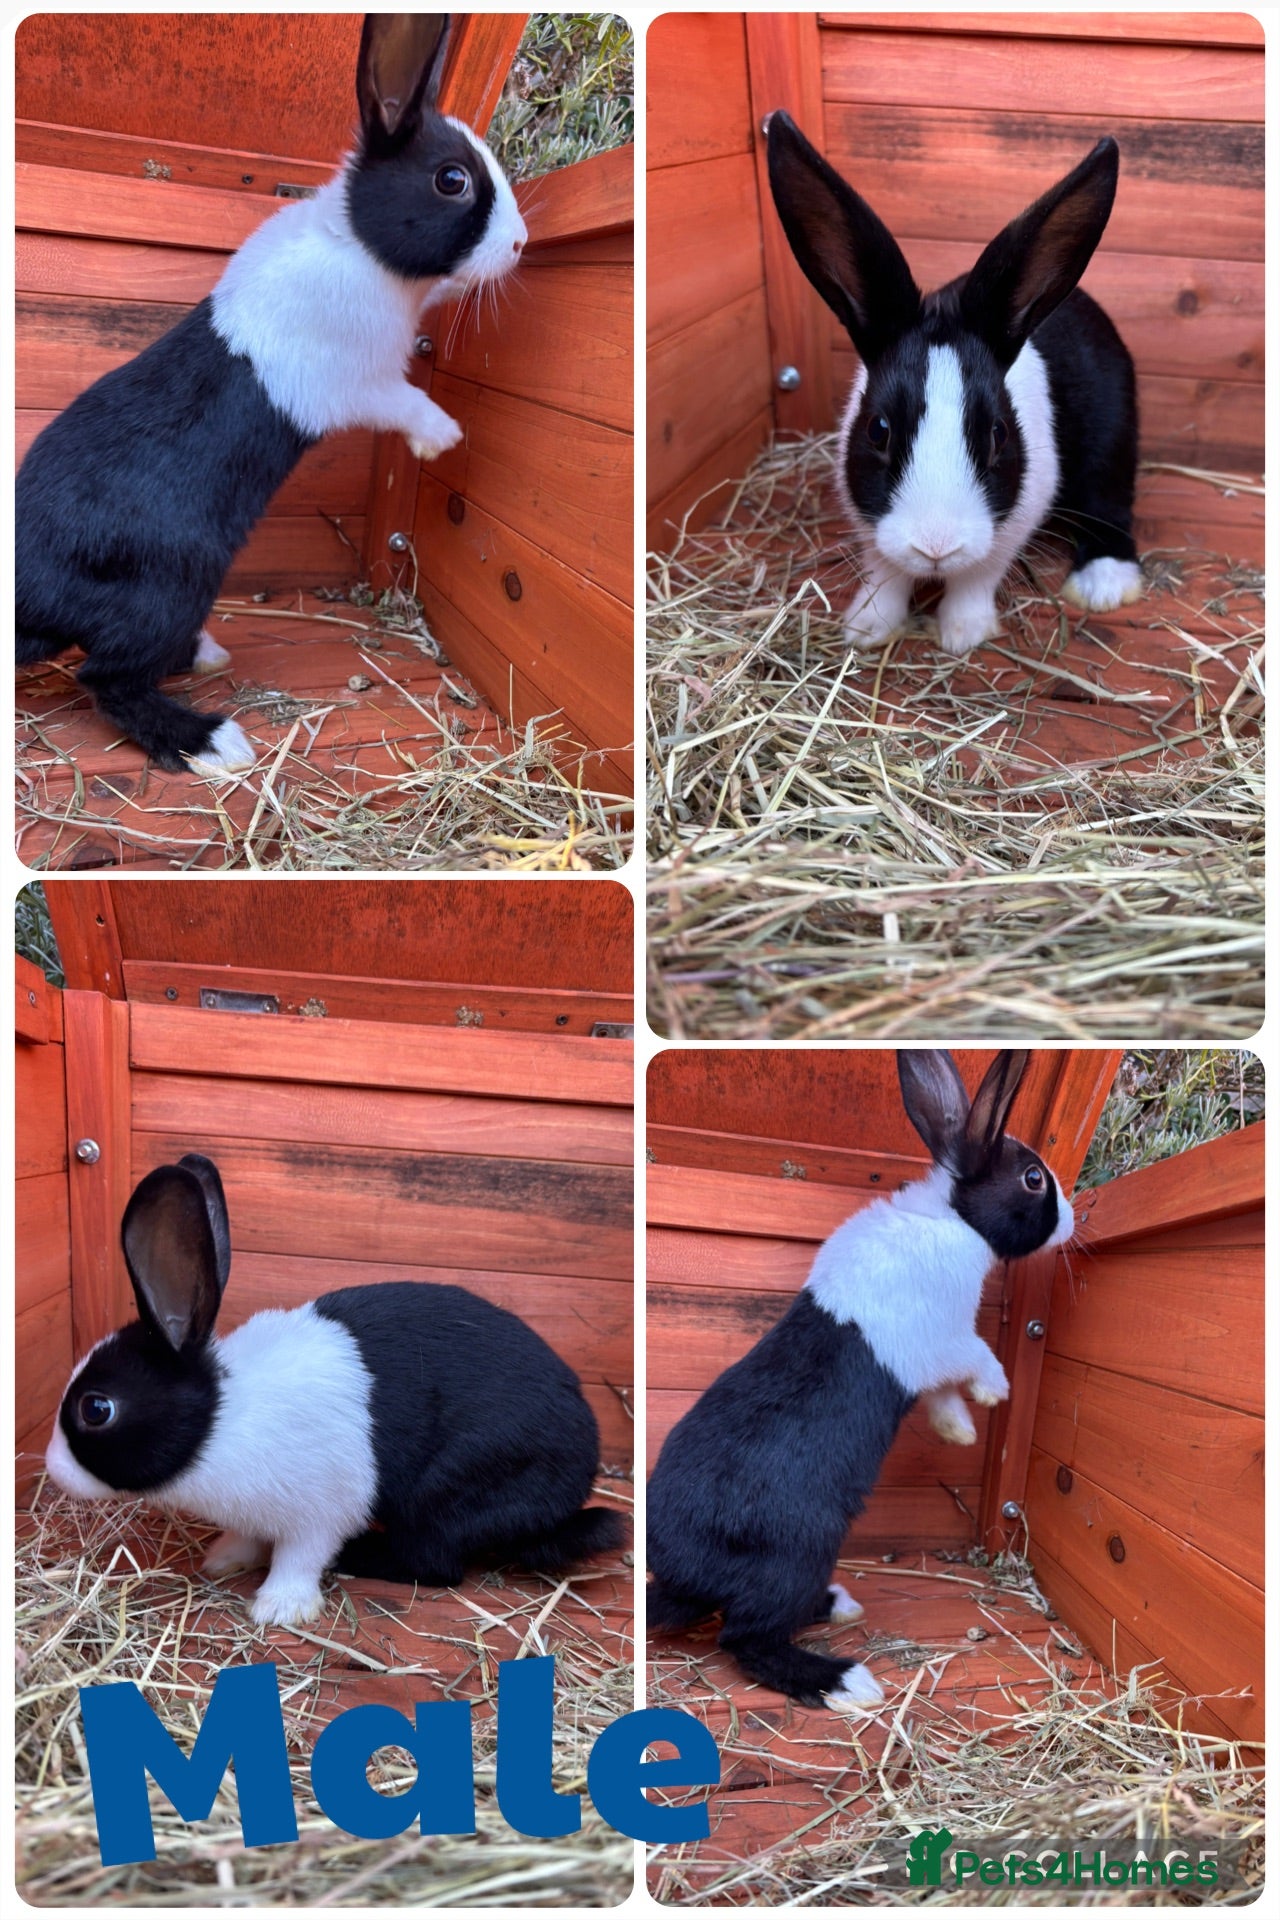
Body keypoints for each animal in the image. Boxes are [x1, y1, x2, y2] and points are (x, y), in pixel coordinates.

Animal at [16, 14, 527, 775]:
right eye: (452, 179)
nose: (521, 244)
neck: (358, 246)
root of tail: (29, 599)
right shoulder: (356, 383)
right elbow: (404, 402)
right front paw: (442, 439)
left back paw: (204, 655)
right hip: (173, 583)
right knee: (107, 680)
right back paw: (211, 740)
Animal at [44, 1153, 623, 1627]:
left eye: (96, 1408)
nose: (53, 1471)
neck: (222, 1420)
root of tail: (573, 1489)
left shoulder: (319, 1513)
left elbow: (300, 1557)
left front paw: (279, 1609)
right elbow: (251, 1536)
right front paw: (224, 1559)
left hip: (450, 1493)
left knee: (436, 1562)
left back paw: (362, 1557)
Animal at [646, 1050, 1075, 1712]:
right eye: (1033, 1178)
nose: (1073, 1218)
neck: (953, 1218)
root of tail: (684, 1577)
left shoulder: (929, 1357)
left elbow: (941, 1395)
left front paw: (957, 1432)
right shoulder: (944, 1339)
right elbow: (974, 1359)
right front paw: (994, 1394)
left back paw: (839, 1605)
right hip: (798, 1553)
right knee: (748, 1640)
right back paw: (845, 1681)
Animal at [766, 116, 1143, 659]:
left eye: (999, 434)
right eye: (877, 429)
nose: (936, 545)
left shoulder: (1010, 527)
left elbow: (976, 577)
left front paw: (963, 634)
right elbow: (886, 573)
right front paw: (867, 629)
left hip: (1112, 445)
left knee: (1109, 503)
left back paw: (1104, 585)